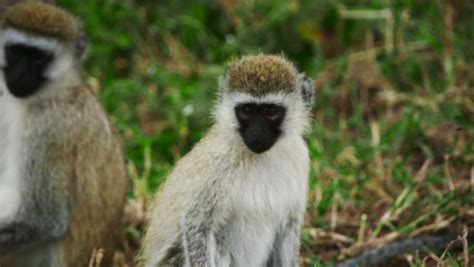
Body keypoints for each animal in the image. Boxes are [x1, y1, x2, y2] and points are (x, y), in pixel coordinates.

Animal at [143, 55, 312, 267]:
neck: (261, 156)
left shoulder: (300, 157)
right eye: (246, 110)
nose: (257, 133)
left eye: (271, 111)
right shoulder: (218, 163)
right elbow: (196, 224)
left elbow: (289, 224)